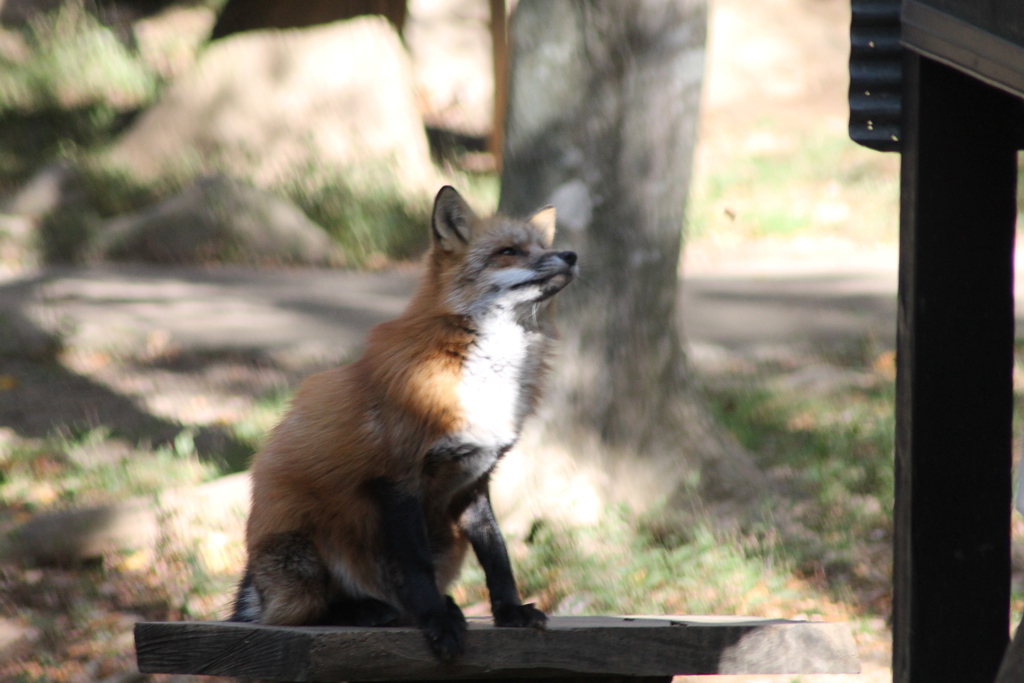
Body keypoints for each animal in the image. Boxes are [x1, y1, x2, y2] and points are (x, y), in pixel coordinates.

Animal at [230, 186, 577, 661]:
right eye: (508, 251)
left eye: (542, 246)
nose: (571, 255)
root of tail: (261, 587)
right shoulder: (398, 476)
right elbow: (415, 566)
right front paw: (436, 623)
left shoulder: (474, 479)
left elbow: (498, 554)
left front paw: (508, 612)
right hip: (304, 555)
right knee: (302, 613)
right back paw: (370, 610)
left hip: (447, 542)